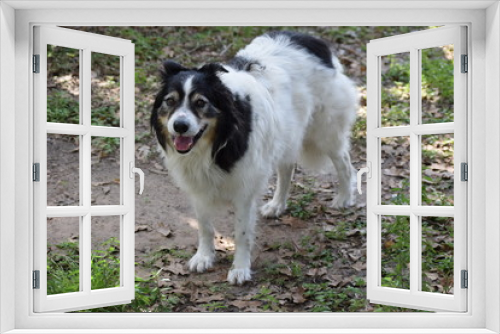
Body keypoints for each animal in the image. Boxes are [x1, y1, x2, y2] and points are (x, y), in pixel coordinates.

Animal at [150, 30, 358, 284]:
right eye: (170, 101)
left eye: (200, 103)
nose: (179, 126)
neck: (217, 143)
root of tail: (311, 39)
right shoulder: (199, 189)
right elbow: (204, 227)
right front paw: (204, 257)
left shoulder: (244, 190)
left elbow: (241, 233)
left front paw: (240, 269)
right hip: (286, 134)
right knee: (287, 169)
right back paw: (277, 205)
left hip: (325, 132)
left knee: (345, 164)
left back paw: (343, 199)